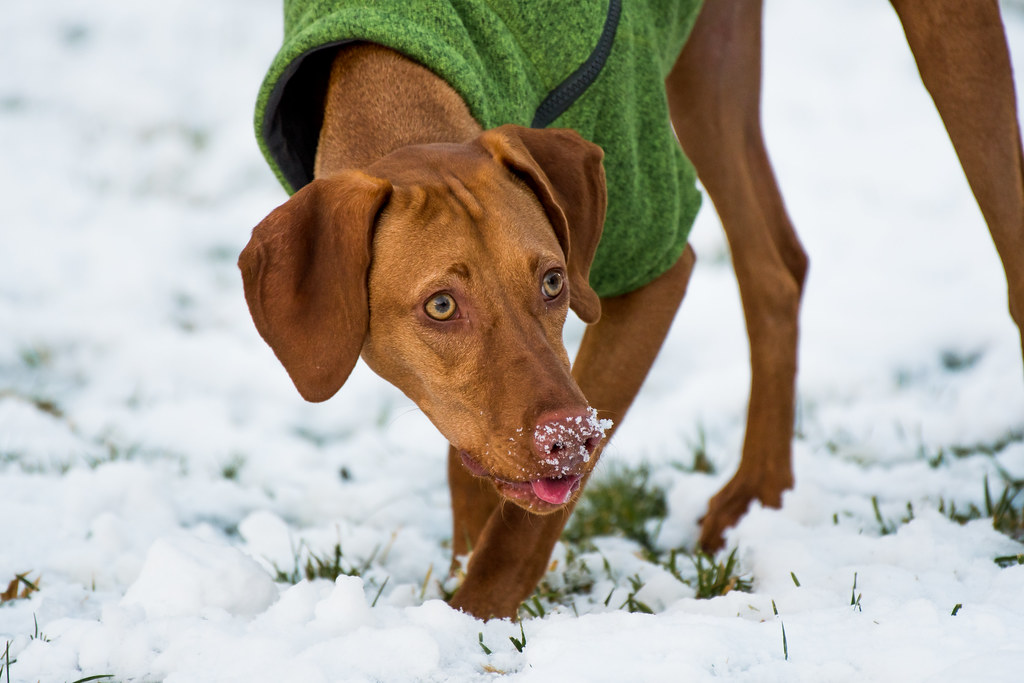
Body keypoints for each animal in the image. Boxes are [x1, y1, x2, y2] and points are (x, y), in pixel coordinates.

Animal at [241, 1, 1024, 618]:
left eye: (554, 282)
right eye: (440, 305)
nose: (573, 439)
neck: (396, 66)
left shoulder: (654, 256)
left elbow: (525, 527)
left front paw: (468, 620)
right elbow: (475, 467)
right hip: (711, 62)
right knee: (775, 267)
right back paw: (759, 491)